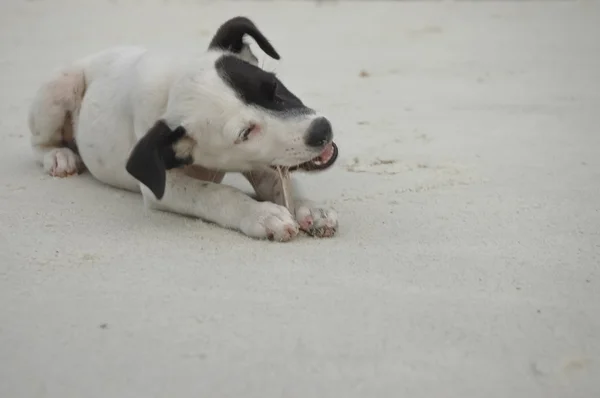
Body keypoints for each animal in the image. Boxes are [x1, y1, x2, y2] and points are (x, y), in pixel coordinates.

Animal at [29, 17, 338, 241]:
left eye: (273, 86)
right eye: (245, 133)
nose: (321, 130)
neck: (172, 84)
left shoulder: (263, 161)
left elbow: (282, 182)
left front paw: (309, 207)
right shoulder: (165, 188)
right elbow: (215, 194)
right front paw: (261, 215)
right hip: (61, 85)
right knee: (39, 143)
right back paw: (59, 156)